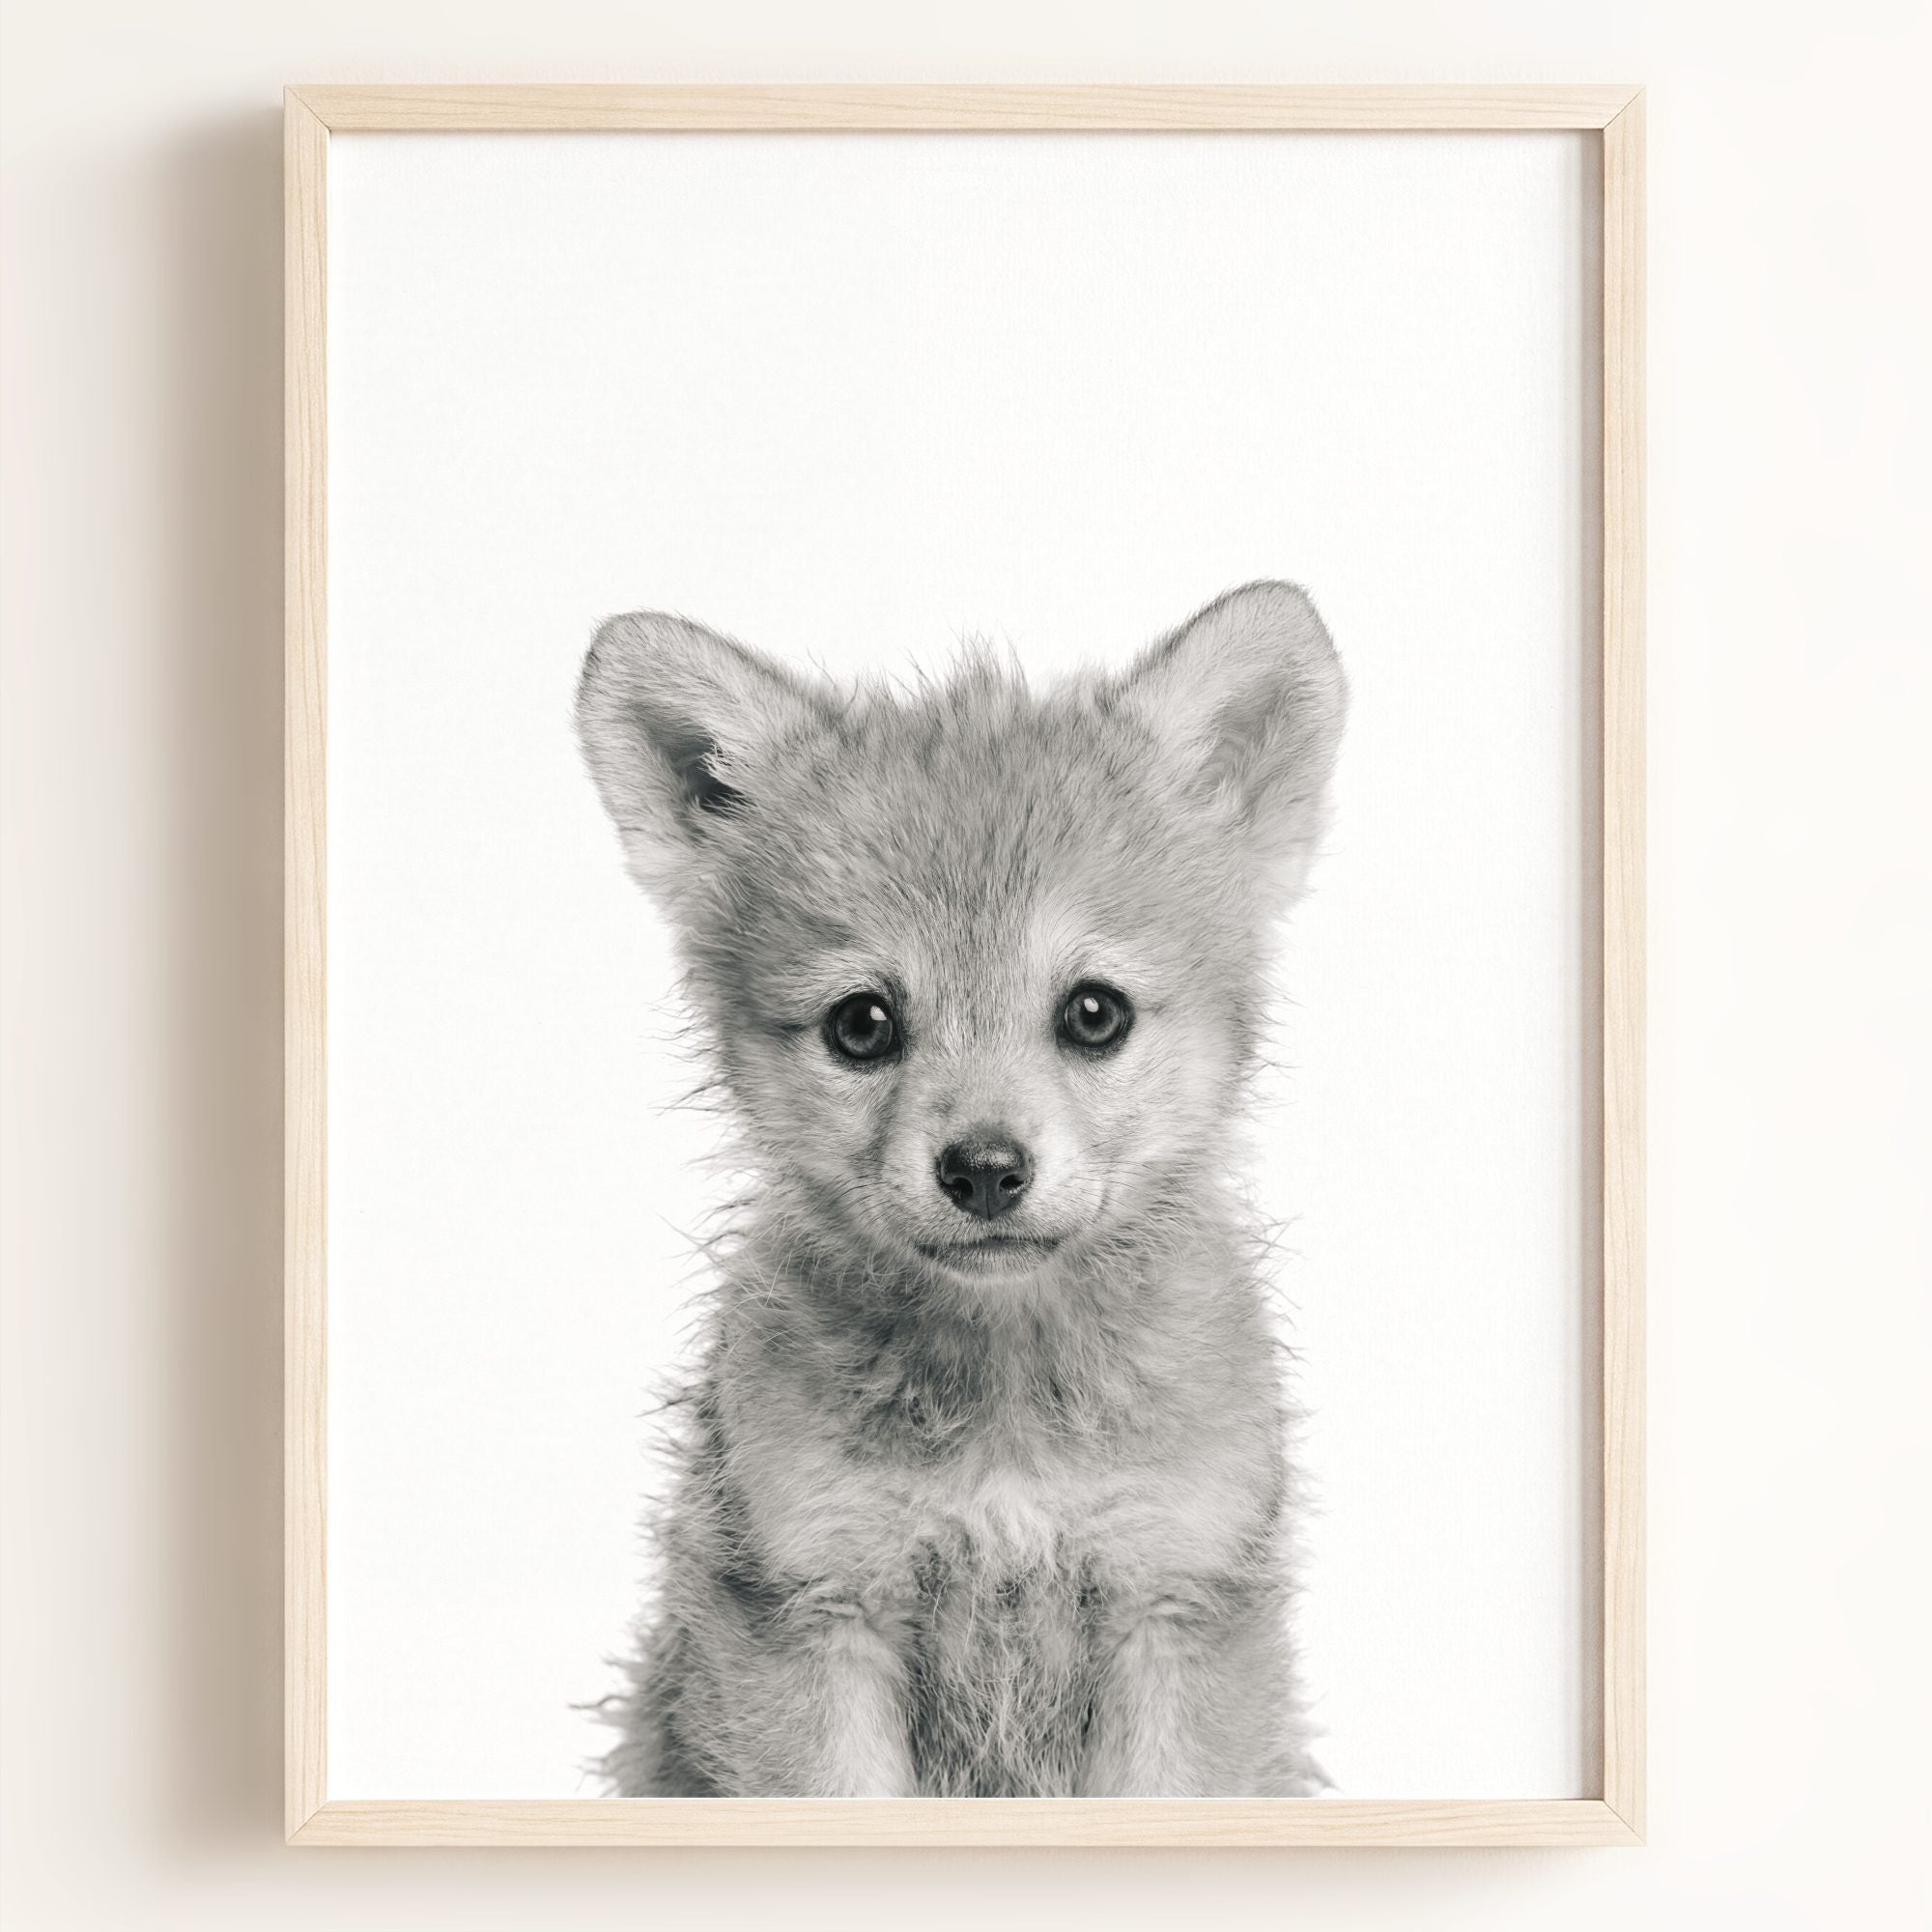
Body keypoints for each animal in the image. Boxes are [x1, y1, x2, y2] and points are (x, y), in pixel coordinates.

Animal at [575, 581, 1347, 1797]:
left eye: (1093, 1011)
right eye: (861, 1022)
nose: (984, 1169)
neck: (1007, 1417)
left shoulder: (1173, 1598)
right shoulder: (812, 1607)